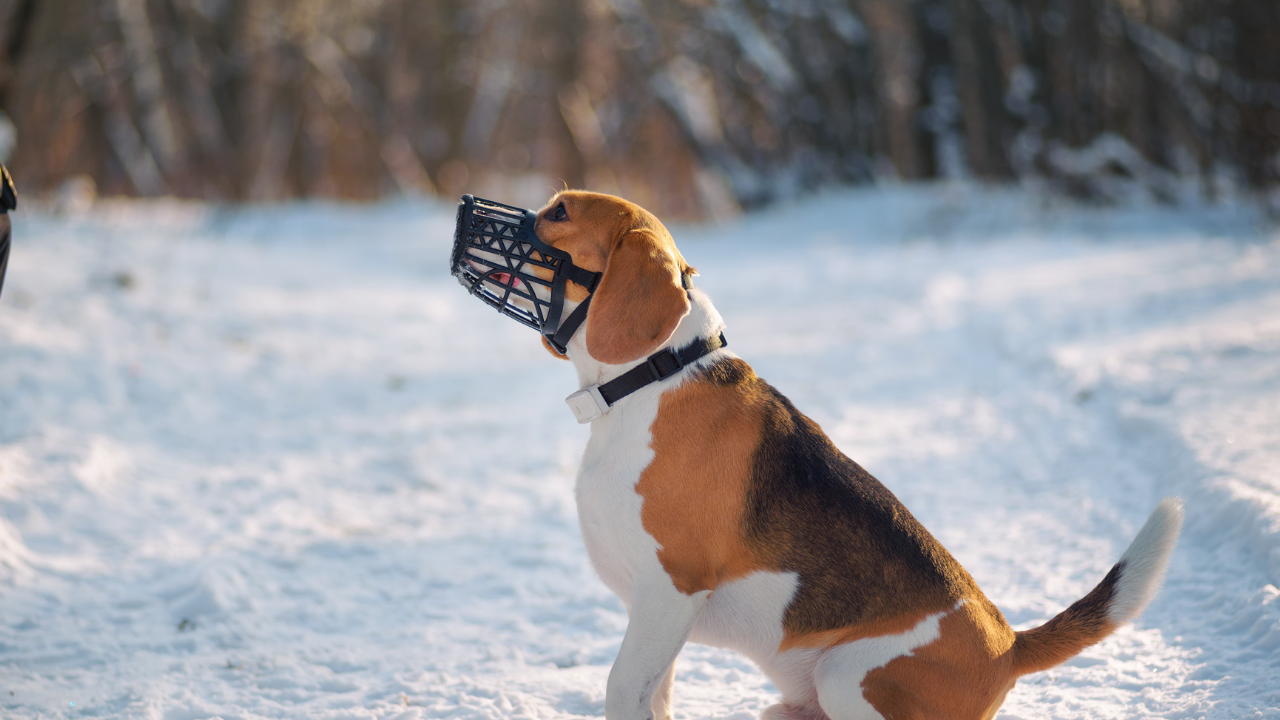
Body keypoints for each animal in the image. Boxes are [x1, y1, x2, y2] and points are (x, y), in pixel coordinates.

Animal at [519, 188, 1177, 712]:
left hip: (845, 675)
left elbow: (622, 685)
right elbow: (654, 695)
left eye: (561, 212)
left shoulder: (670, 589)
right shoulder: (656, 615)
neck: (653, 377)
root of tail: (1009, 645)